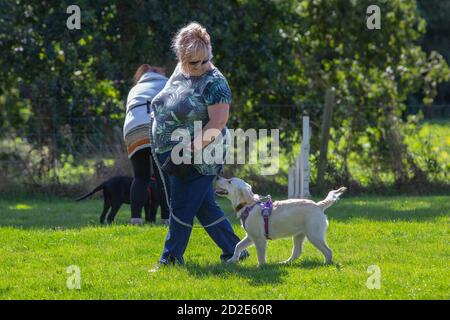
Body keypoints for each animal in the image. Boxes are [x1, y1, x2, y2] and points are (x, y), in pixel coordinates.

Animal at [216, 176, 346, 266]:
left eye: (229, 181)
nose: (217, 177)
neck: (249, 206)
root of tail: (318, 205)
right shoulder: (250, 236)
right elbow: (238, 246)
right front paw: (232, 260)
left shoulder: (259, 239)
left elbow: (260, 255)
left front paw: (261, 267)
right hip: (299, 235)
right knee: (297, 253)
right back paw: (284, 263)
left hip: (314, 235)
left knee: (328, 251)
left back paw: (326, 264)